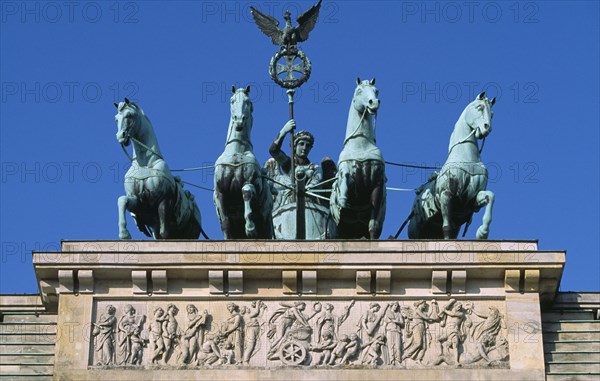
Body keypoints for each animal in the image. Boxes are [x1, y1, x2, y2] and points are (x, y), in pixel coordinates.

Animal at [113, 98, 203, 238]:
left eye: (129, 115)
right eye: (116, 118)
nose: (120, 136)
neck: (144, 164)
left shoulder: (163, 201)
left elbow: (164, 233)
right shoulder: (138, 202)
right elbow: (122, 200)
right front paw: (124, 234)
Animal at [213, 87, 274, 238]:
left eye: (248, 101)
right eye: (232, 100)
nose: (239, 119)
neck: (236, 152)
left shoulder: (251, 183)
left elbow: (246, 192)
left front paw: (250, 227)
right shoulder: (219, 193)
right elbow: (225, 224)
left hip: (266, 222)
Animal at [330, 77, 386, 238]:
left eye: (376, 90)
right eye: (359, 91)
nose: (374, 102)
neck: (361, 146)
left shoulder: (377, 185)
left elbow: (373, 226)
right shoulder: (347, 170)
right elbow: (345, 175)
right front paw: (343, 200)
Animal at [408, 92, 496, 239]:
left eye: (492, 114)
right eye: (479, 107)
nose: (487, 128)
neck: (467, 158)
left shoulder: (471, 200)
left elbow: (490, 196)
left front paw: (483, 232)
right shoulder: (446, 195)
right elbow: (447, 226)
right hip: (416, 229)